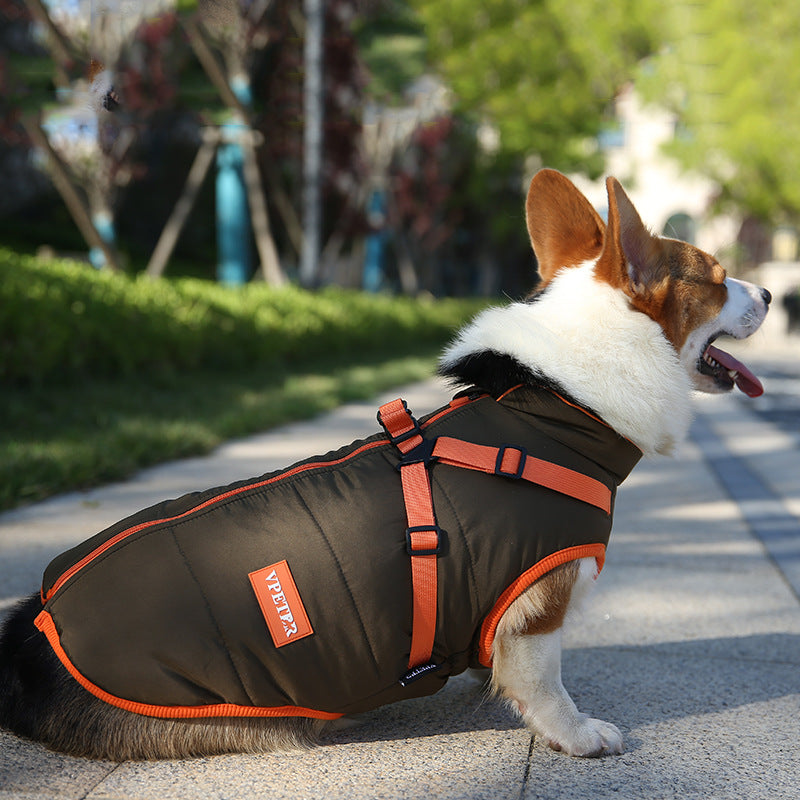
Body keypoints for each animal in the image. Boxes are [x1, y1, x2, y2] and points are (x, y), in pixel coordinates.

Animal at [0, 169, 768, 756]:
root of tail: (32, 628)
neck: (557, 401)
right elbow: (547, 685)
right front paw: (578, 736)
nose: (768, 292)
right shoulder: (538, 602)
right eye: (718, 278)